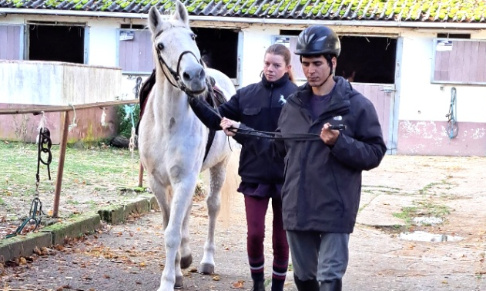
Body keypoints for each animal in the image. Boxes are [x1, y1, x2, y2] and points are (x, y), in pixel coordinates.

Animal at [138, 1, 236, 290]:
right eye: (160, 45)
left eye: (192, 36)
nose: (194, 75)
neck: (167, 124)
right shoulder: (158, 182)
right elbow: (168, 224)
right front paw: (177, 271)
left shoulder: (184, 179)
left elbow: (171, 232)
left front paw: (168, 280)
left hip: (219, 167)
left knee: (212, 206)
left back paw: (206, 260)